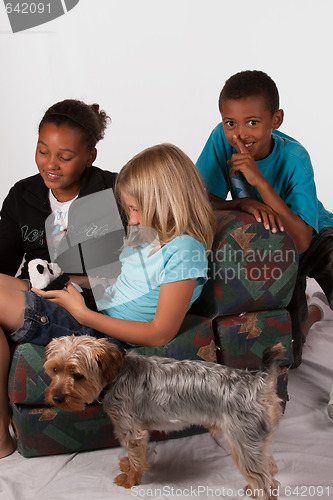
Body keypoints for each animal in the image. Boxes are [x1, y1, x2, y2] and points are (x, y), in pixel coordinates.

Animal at [42, 334, 284, 498]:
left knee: (264, 481)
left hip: (244, 440)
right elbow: (132, 454)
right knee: (269, 467)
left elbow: (136, 456)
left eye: (78, 375)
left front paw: (130, 479)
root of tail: (258, 382)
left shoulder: (132, 429)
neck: (115, 377)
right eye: (54, 370)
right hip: (258, 439)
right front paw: (127, 465)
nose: (56, 398)